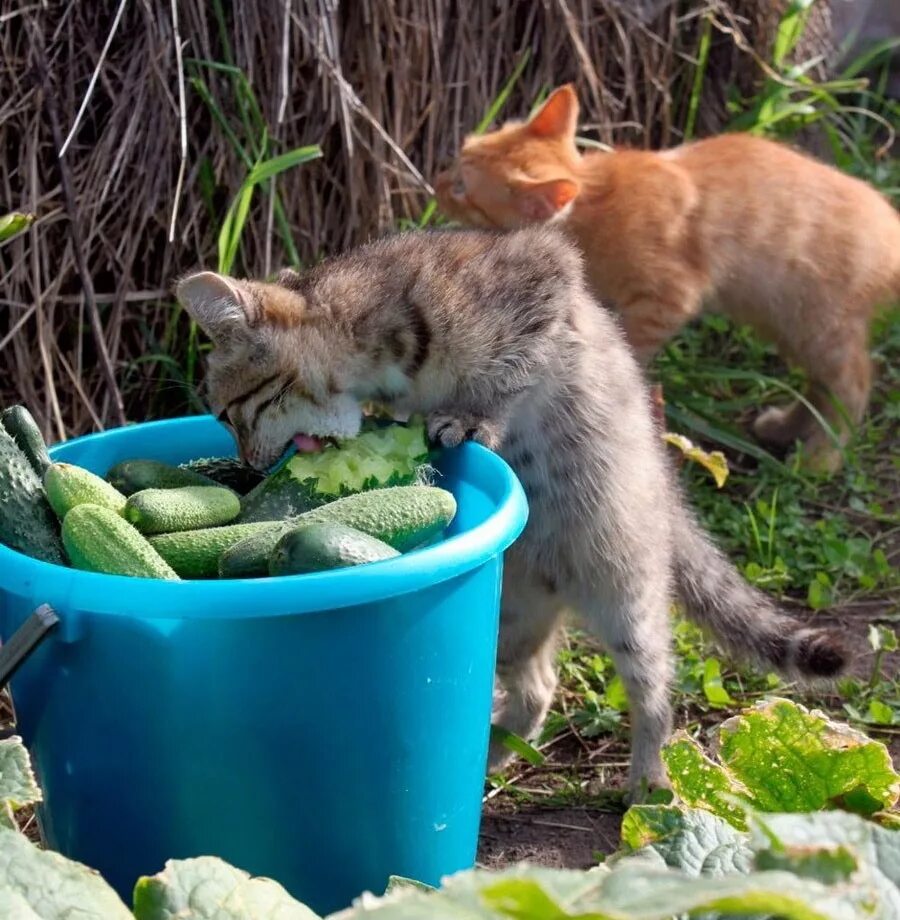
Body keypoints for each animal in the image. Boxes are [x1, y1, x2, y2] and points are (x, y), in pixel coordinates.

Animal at [178, 228, 852, 792]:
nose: (251, 467)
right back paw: (494, 754)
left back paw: (650, 778)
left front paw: (472, 415)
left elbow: (508, 374)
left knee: (656, 686)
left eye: (228, 413)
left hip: (624, 593)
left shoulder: (547, 276)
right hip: (510, 621)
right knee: (539, 689)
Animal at [436, 84, 900, 474]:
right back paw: (785, 427)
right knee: (820, 387)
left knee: (854, 382)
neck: (595, 202)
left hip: (820, 328)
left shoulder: (668, 298)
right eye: (460, 150)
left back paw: (822, 457)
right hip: (789, 324)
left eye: (461, 188)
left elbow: (630, 344)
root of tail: (890, 226)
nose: (436, 182)